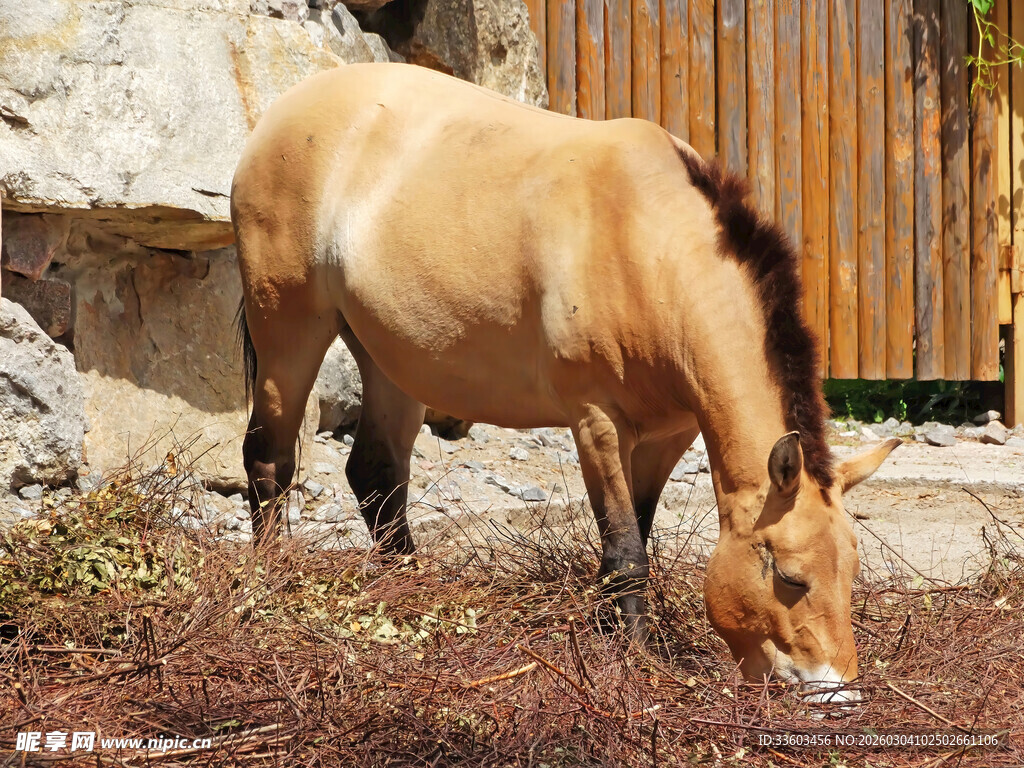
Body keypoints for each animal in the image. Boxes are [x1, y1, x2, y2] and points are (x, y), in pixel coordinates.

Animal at [231, 62, 900, 701]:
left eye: (852, 571)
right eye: (789, 575)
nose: (834, 692)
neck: (647, 244)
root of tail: (281, 116)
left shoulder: (668, 436)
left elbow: (636, 533)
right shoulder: (596, 422)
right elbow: (626, 550)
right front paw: (634, 660)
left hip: (389, 359)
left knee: (374, 472)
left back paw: (409, 587)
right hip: (288, 328)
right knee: (270, 459)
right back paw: (268, 581)